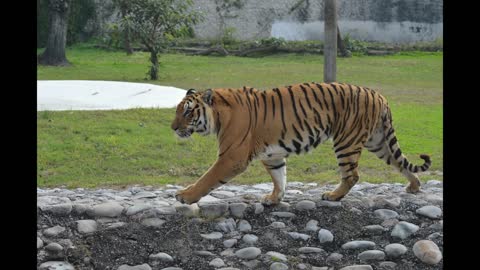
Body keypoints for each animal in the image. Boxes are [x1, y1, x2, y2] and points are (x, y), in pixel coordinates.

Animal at [172, 82, 432, 205]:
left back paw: (333, 196)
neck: (218, 116)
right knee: (400, 163)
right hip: (377, 141)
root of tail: (379, 95)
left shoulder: (231, 157)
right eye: (177, 111)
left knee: (352, 175)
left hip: (346, 141)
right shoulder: (273, 155)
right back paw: (414, 186)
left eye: (187, 112)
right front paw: (274, 199)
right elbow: (280, 178)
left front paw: (185, 196)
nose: (173, 128)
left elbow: (208, 178)